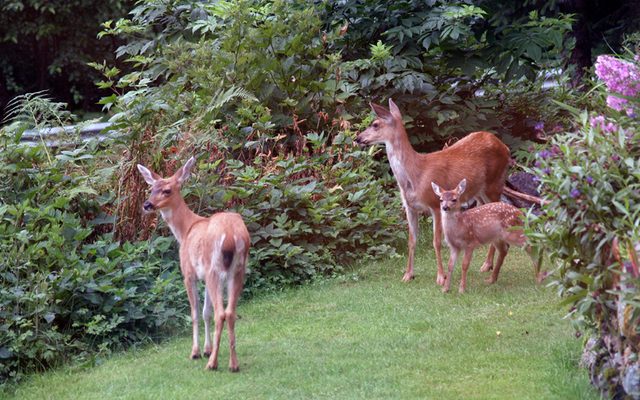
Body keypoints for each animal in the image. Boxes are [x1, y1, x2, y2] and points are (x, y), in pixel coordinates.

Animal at [137, 157, 250, 372]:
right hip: (237, 270)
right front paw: (206, 349)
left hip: (215, 269)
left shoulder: (189, 274)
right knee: (230, 312)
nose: (147, 205)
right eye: (151, 188)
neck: (186, 230)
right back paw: (233, 364)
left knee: (221, 313)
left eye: (167, 190)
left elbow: (195, 313)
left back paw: (212, 363)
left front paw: (196, 352)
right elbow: (206, 312)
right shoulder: (204, 276)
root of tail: (231, 235)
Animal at [356, 99, 510, 287]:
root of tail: (505, 147)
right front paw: (408, 275)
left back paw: (487, 265)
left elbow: (436, 242)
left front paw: (441, 277)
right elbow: (411, 241)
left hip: (495, 184)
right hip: (480, 192)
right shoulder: (410, 208)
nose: (358, 138)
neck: (415, 175)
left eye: (375, 124)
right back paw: (487, 265)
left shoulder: (435, 204)